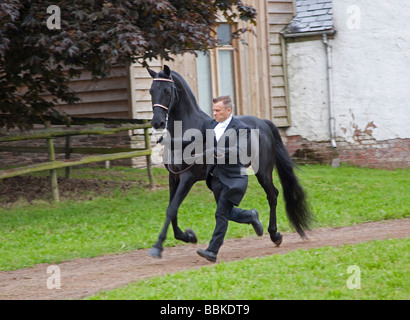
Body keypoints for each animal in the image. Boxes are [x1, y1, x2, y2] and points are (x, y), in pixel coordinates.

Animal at [147, 65, 310, 258]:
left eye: (167, 90)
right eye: (151, 91)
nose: (157, 122)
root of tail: (263, 123)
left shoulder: (188, 177)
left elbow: (172, 209)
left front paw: (157, 247)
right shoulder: (174, 177)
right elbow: (172, 210)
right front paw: (188, 236)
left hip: (263, 172)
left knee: (272, 195)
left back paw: (274, 234)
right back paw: (256, 221)